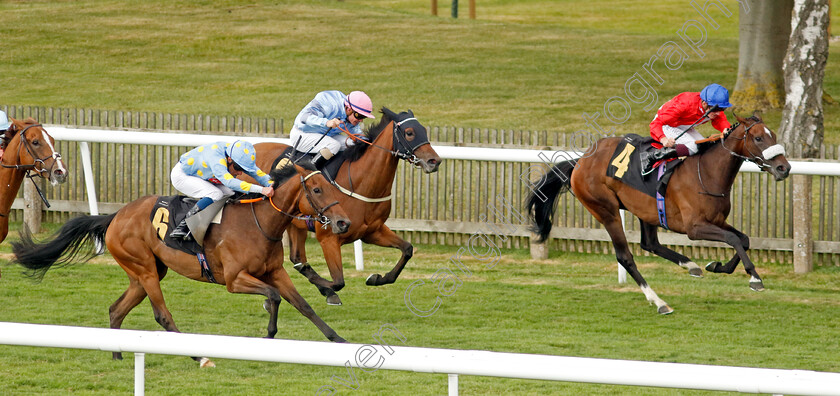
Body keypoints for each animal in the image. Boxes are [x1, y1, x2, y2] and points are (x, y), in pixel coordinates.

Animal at [13, 162, 354, 366]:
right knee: (162, 315)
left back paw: (118, 354)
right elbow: (273, 297)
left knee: (116, 309)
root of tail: (116, 216)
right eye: (317, 189)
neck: (259, 222)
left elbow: (303, 305)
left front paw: (338, 340)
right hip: (146, 271)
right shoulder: (235, 280)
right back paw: (198, 357)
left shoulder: (275, 271)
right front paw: (268, 336)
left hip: (144, 273)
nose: (343, 222)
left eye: (333, 187)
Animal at [253, 106, 442, 304]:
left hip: (295, 223)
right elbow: (338, 281)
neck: (361, 184)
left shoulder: (373, 231)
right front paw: (326, 288)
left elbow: (407, 249)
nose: (434, 161)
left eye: (424, 130)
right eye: (409, 132)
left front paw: (376, 278)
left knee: (297, 257)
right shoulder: (328, 238)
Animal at [528, 114, 792, 316]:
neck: (707, 172)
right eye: (758, 138)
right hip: (606, 210)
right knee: (625, 256)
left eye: (773, 136)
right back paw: (660, 302)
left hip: (646, 211)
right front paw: (755, 278)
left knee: (650, 243)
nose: (784, 168)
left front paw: (717, 266)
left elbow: (743, 239)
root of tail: (581, 161)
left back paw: (691, 266)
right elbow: (734, 239)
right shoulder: (694, 227)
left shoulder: (717, 220)